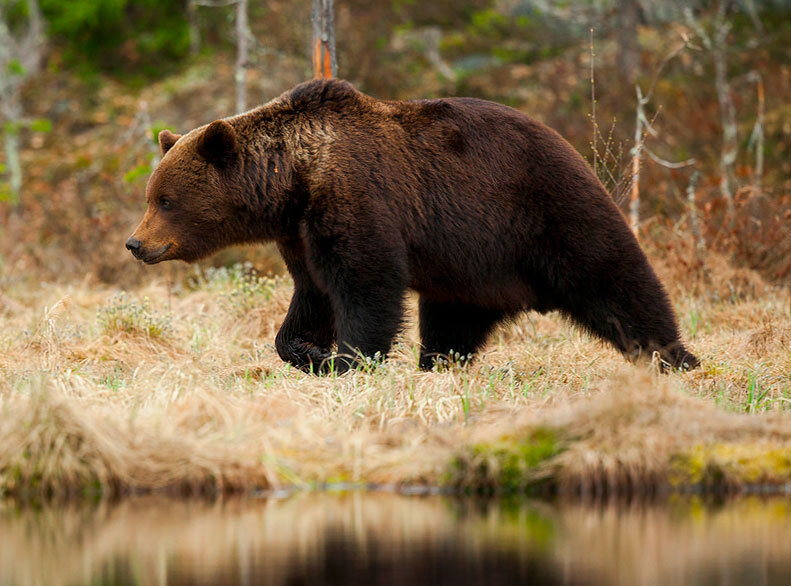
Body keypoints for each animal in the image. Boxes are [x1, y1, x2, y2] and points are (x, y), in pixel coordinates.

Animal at [125, 77, 700, 372]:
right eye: (152, 196)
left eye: (166, 200)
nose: (136, 243)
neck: (295, 180)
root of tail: (572, 145)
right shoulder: (300, 232)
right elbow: (312, 294)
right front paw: (307, 350)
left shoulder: (358, 200)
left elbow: (367, 285)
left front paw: (350, 358)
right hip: (469, 267)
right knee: (450, 321)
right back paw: (438, 363)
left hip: (547, 208)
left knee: (615, 280)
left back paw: (676, 357)